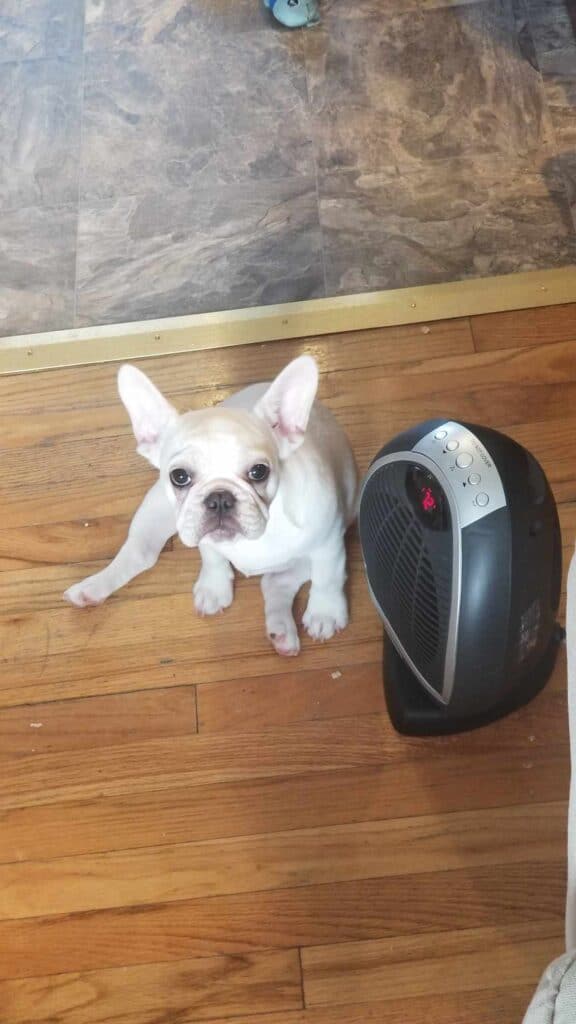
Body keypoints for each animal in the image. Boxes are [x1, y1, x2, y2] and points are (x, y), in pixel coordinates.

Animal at [65, 354, 356, 655]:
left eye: (259, 471)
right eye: (179, 476)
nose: (219, 498)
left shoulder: (328, 544)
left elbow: (328, 577)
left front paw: (325, 612)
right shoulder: (199, 531)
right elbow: (212, 556)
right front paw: (214, 587)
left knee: (277, 582)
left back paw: (282, 632)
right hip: (156, 510)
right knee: (140, 554)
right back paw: (92, 588)